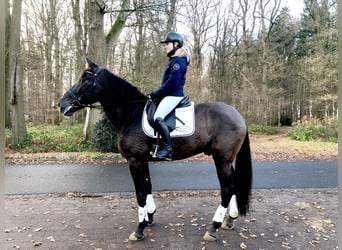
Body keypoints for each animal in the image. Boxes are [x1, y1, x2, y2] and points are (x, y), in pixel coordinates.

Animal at [58, 58, 251, 242]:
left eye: (85, 79)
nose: (61, 104)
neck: (132, 114)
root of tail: (238, 115)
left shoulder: (134, 160)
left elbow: (140, 193)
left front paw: (139, 229)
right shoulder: (143, 160)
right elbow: (148, 186)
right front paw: (149, 217)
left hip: (222, 159)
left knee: (227, 189)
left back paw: (213, 228)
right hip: (226, 160)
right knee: (234, 185)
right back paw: (230, 220)